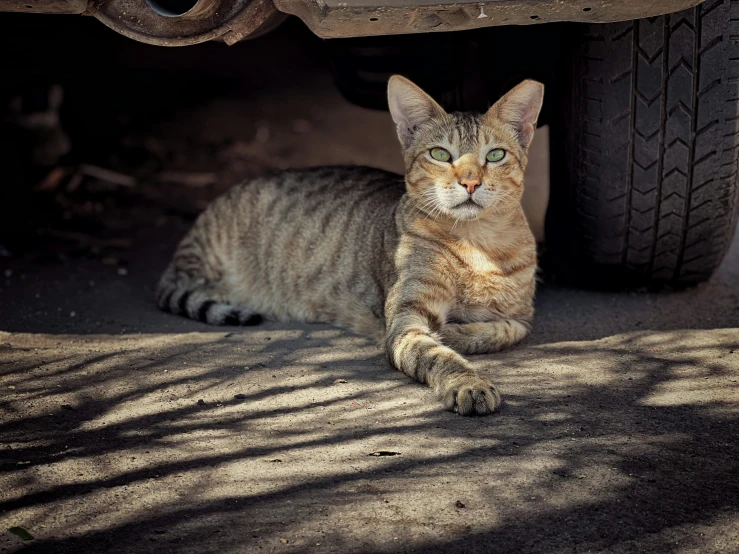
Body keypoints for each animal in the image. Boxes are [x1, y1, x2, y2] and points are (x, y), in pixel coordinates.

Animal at [158, 76, 544, 414]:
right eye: (439, 154)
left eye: (494, 155)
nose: (470, 182)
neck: (477, 243)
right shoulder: (406, 321)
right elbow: (439, 355)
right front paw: (468, 382)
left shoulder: (523, 316)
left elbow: (504, 331)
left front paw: (456, 332)